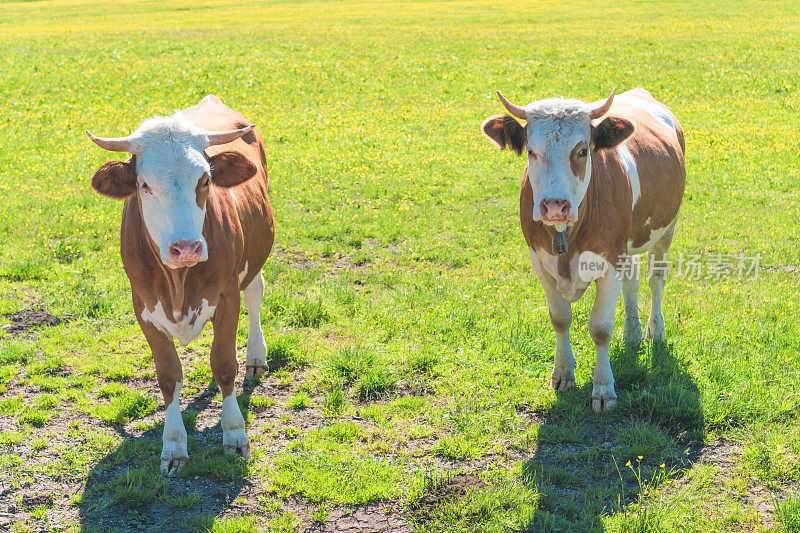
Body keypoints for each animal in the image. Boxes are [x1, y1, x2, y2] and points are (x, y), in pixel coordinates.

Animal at [88, 94, 276, 474]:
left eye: (204, 180)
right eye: (145, 184)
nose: (186, 247)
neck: (178, 283)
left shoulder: (227, 297)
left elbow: (224, 364)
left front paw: (235, 435)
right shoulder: (143, 307)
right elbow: (168, 375)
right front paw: (173, 444)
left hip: (252, 264)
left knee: (255, 296)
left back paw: (255, 356)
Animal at [482, 87, 688, 412]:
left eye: (582, 151)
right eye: (531, 151)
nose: (555, 205)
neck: (567, 234)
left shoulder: (611, 262)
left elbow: (601, 328)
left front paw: (603, 388)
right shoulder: (540, 263)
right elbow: (560, 319)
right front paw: (562, 374)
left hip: (666, 229)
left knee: (656, 280)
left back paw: (656, 331)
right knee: (632, 283)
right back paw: (632, 334)